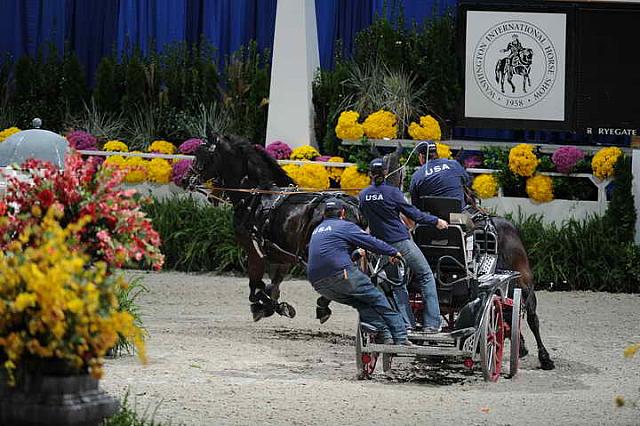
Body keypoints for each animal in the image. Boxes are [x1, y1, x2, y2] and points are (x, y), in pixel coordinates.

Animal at [185, 133, 364, 322]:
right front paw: (276, 306)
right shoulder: (281, 256)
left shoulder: (254, 252)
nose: (185, 179)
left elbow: (256, 289)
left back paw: (324, 305)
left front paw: (265, 307)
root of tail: (351, 207)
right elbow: (273, 286)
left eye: (200, 154)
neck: (255, 197)